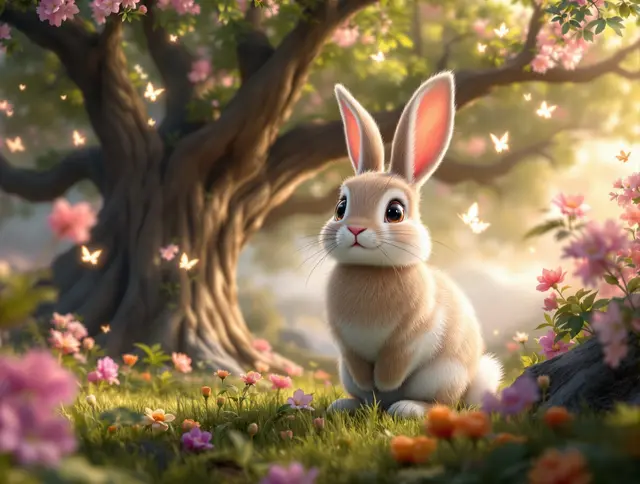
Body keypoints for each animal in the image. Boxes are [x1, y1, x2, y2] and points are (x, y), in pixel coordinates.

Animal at [321, 71, 503, 419]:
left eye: (395, 212)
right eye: (340, 207)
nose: (355, 228)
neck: (370, 271)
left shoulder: (415, 333)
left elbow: (395, 360)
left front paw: (384, 382)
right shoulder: (343, 342)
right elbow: (357, 361)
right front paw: (368, 382)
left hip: (443, 375)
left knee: (443, 402)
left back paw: (405, 406)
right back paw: (346, 404)